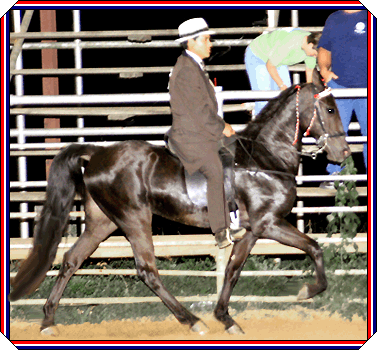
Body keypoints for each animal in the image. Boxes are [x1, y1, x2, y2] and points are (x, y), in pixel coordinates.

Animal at [9, 69, 350, 336]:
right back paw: (191, 320)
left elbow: (233, 270)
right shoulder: (270, 224)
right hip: (134, 219)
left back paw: (48, 320)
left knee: (71, 260)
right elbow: (314, 248)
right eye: (330, 109)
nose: (344, 152)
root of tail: (97, 154)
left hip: (102, 222)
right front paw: (308, 291)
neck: (264, 159)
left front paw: (226, 318)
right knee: (147, 269)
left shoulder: (252, 232)